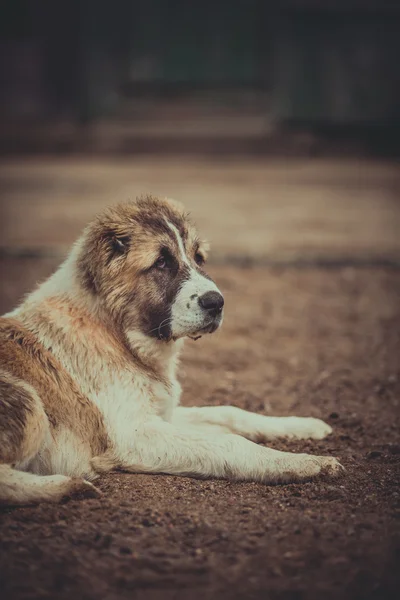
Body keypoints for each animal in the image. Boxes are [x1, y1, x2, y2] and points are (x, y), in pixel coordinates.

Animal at [0, 195, 340, 504]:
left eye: (199, 258)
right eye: (161, 262)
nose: (217, 303)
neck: (117, 334)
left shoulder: (164, 414)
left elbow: (231, 413)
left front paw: (302, 426)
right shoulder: (134, 434)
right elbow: (230, 442)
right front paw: (306, 462)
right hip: (28, 398)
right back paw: (68, 486)